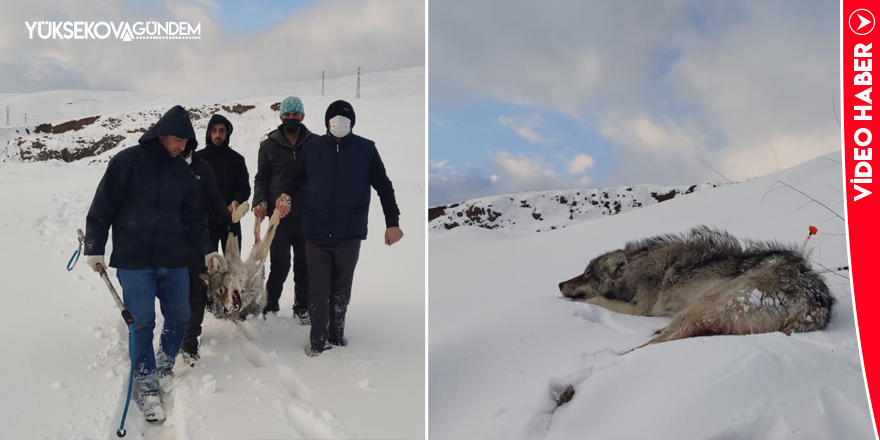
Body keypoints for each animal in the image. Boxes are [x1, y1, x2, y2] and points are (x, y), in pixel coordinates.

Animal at [560, 227, 836, 350]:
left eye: (587, 272)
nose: (560, 283)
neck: (638, 268)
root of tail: (814, 302)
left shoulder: (642, 309)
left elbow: (599, 300)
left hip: (700, 307)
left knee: (654, 343)